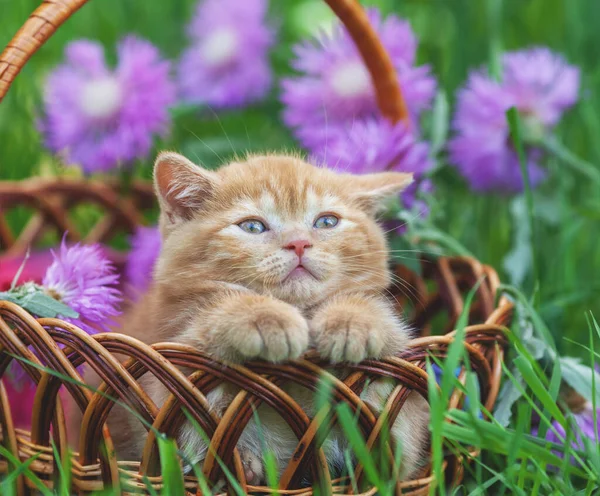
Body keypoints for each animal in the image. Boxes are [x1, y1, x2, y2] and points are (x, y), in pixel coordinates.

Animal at [98, 151, 428, 484]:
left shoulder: (403, 441)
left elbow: (394, 445)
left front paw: (352, 322)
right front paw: (267, 318)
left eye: (327, 221)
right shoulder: (166, 370)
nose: (299, 243)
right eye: (253, 227)